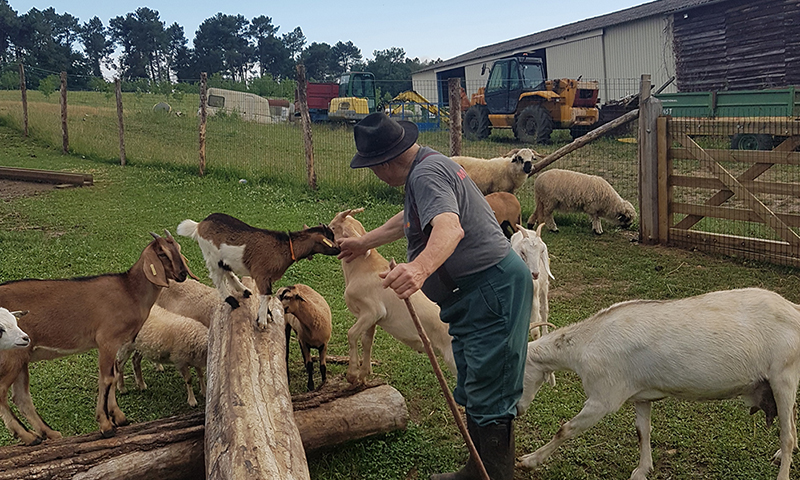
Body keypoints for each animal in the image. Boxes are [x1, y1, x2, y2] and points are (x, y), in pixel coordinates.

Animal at [177, 213, 340, 328]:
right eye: (330, 239)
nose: (339, 249)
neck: (284, 247)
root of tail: (200, 225)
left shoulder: (267, 278)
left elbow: (267, 295)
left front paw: (267, 315)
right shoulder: (262, 274)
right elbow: (266, 295)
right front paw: (262, 321)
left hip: (224, 260)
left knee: (228, 272)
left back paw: (244, 290)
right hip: (212, 256)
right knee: (217, 277)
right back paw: (232, 300)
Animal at [328, 208, 456, 384]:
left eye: (333, 228)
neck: (361, 268)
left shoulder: (372, 311)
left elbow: (352, 334)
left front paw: (352, 375)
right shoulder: (372, 318)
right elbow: (367, 341)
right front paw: (364, 374)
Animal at [516, 286, 800, 480]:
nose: (517, 410)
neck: (586, 344)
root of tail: (793, 309)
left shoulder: (603, 397)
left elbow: (565, 429)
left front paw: (528, 461)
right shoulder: (640, 395)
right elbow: (643, 431)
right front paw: (642, 470)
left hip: (783, 376)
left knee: (787, 434)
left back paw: (783, 471)